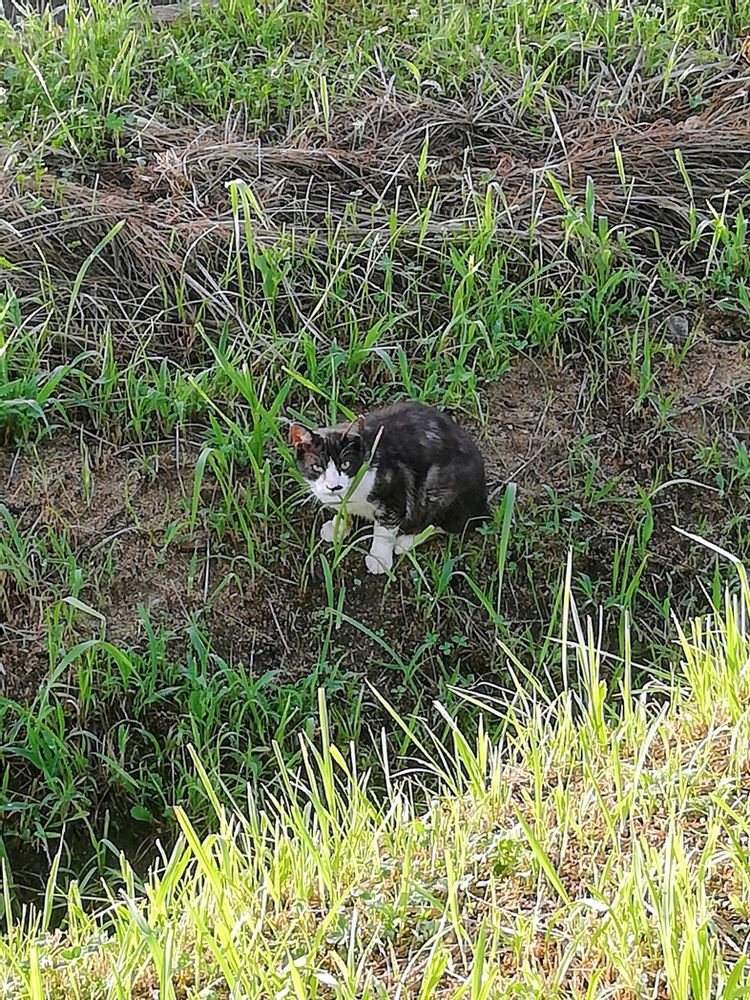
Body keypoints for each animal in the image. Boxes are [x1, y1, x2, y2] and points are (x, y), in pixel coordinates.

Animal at [290, 401, 489, 574]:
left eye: (345, 464)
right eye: (317, 467)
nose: (334, 486)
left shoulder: (395, 491)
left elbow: (385, 529)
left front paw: (379, 559)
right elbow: (344, 510)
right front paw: (337, 528)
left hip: (440, 490)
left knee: (446, 524)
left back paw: (405, 542)